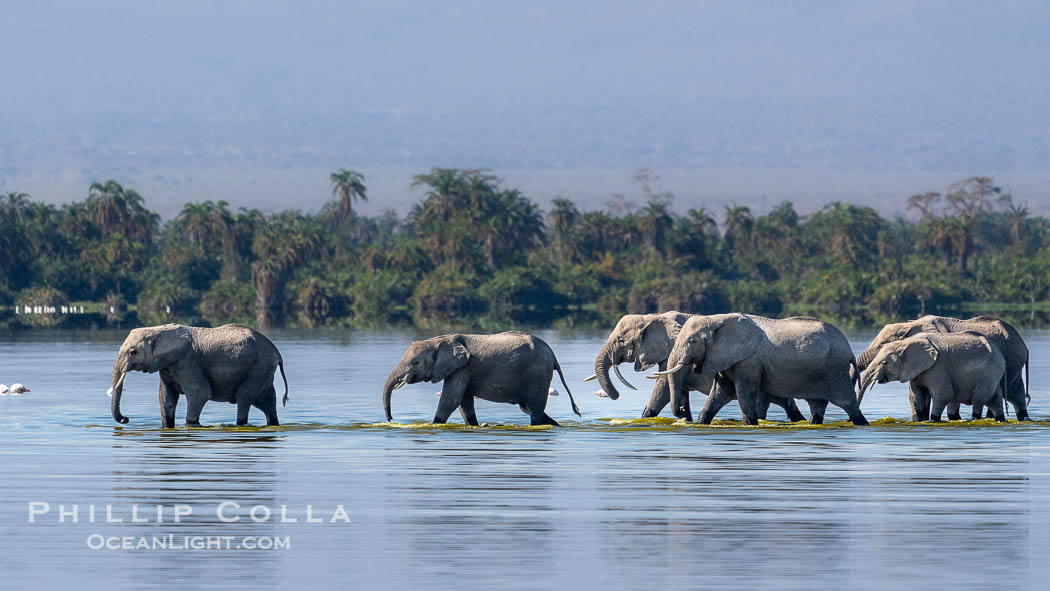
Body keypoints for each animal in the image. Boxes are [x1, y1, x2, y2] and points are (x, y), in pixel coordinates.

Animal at [110, 324, 288, 427]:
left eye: (133, 352)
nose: (126, 419)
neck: (159, 330)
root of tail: (277, 352)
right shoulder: (167, 364)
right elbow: (166, 397)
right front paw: (167, 426)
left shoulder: (188, 361)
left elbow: (200, 393)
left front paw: (191, 425)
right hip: (263, 371)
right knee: (267, 402)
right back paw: (273, 424)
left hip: (259, 367)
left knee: (244, 398)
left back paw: (240, 425)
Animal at [382, 331, 581, 426]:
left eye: (415, 363)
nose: (391, 419)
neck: (439, 340)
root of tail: (552, 353)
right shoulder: (463, 370)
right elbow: (464, 403)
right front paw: (475, 425)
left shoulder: (462, 368)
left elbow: (450, 400)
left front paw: (434, 425)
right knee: (529, 408)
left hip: (538, 374)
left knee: (534, 411)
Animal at [588, 312, 806, 422]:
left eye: (621, 340)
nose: (616, 395)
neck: (652, 317)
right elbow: (676, 388)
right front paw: (685, 418)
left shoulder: (673, 352)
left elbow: (663, 387)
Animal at [654, 314, 868, 425]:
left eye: (692, 341)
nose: (682, 410)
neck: (718, 319)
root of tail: (849, 349)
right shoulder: (726, 357)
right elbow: (720, 392)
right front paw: (701, 423)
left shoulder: (749, 361)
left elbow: (744, 392)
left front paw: (751, 424)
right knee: (817, 407)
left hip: (835, 371)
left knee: (848, 404)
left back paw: (862, 424)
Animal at [857, 315, 1030, 420]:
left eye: (881, 346)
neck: (910, 324)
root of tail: (1025, 347)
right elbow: (915, 395)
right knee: (1015, 392)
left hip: (1012, 359)